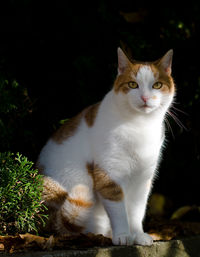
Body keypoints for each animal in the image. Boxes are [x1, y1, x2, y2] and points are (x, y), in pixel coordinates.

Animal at [36, 47, 174, 245]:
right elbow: (119, 211)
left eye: (157, 85)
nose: (145, 97)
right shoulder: (109, 175)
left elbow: (137, 211)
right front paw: (123, 235)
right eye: (133, 84)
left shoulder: (142, 179)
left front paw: (138, 235)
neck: (139, 125)